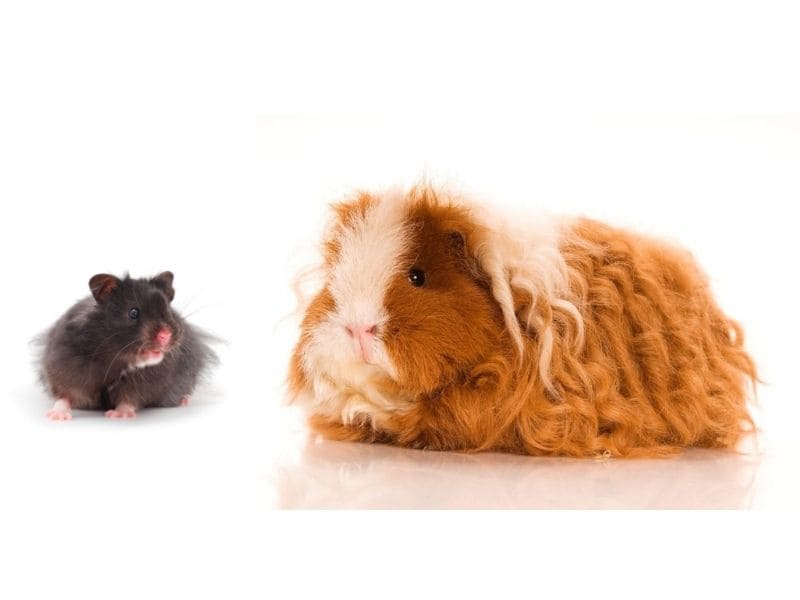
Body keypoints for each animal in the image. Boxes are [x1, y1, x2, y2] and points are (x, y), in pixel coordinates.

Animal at [39, 271, 217, 420]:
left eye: (168, 311)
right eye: (133, 313)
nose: (165, 336)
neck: (115, 359)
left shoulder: (146, 383)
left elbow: (129, 398)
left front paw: (118, 415)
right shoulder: (63, 367)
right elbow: (65, 394)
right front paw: (56, 416)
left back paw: (184, 400)